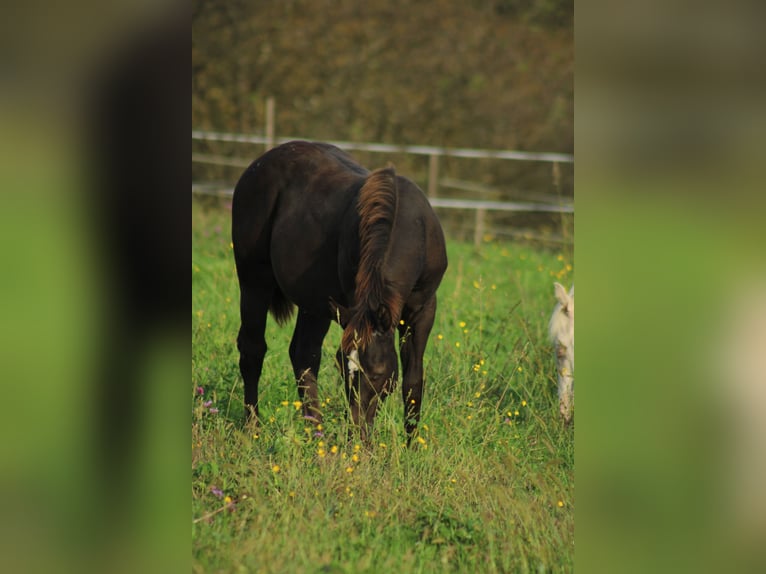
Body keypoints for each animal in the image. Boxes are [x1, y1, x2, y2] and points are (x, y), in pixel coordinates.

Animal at [234, 141, 450, 446]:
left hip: (314, 302)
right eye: (344, 369)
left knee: (303, 354)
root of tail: (258, 165)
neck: (409, 227)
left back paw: (317, 434)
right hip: (254, 281)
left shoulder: (423, 310)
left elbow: (413, 380)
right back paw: (254, 428)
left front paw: (412, 447)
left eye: (379, 374)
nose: (359, 440)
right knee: (253, 349)